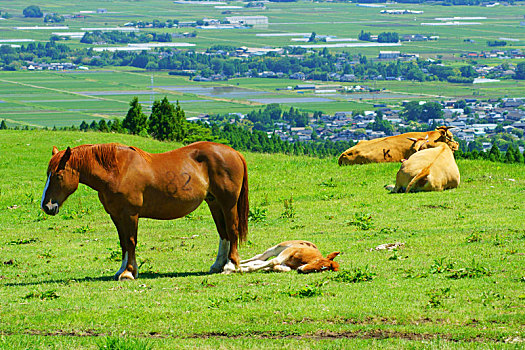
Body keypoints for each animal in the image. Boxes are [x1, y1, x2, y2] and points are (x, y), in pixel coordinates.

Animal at [40, 141, 249, 280]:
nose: (47, 206)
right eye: (48, 174)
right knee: (223, 233)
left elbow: (131, 241)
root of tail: (234, 153)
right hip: (214, 203)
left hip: (228, 204)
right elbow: (123, 243)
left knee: (232, 229)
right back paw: (218, 265)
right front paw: (122, 270)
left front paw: (129, 272)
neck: (117, 171)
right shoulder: (116, 215)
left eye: (58, 175)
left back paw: (231, 265)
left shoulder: (130, 214)